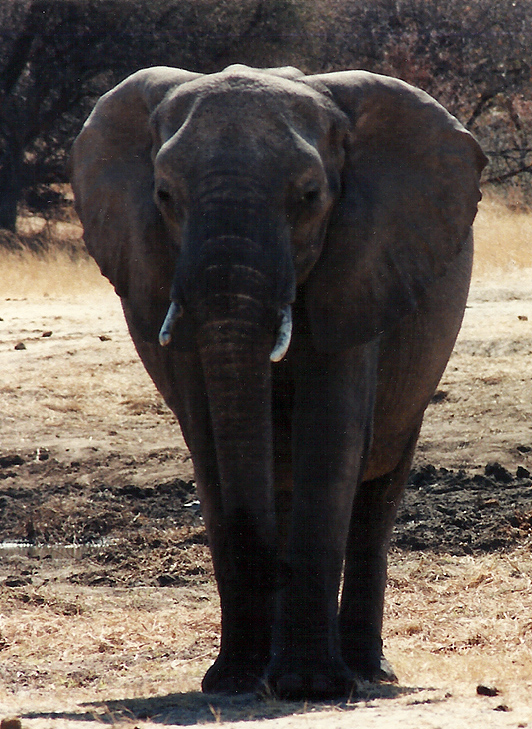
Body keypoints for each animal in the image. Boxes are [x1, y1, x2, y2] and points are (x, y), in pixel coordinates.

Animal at [70, 65, 486, 696]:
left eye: (310, 197)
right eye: (164, 196)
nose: (272, 571)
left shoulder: (361, 265)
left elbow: (330, 435)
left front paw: (311, 687)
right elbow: (211, 441)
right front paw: (234, 682)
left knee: (378, 494)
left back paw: (365, 671)